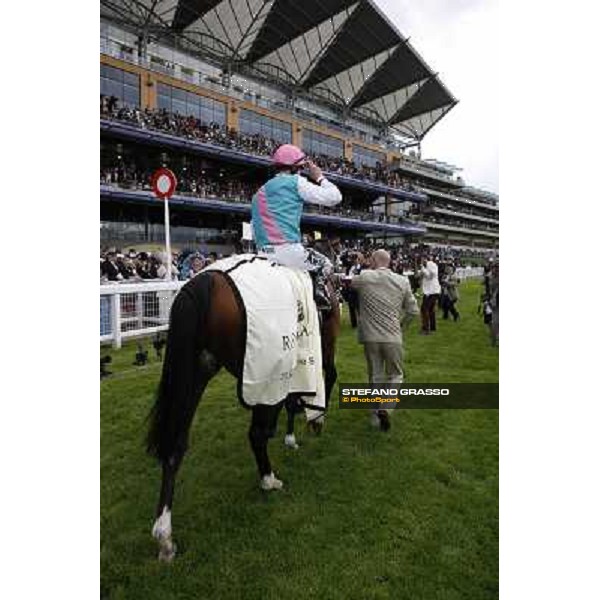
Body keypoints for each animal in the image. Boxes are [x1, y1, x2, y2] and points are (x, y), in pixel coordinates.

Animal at [146, 246, 338, 560]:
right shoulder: (320, 344)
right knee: (257, 433)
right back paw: (269, 479)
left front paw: (292, 433)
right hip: (265, 370)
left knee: (175, 445)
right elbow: (327, 376)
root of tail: (207, 280)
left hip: (196, 371)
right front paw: (314, 419)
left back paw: (164, 536)